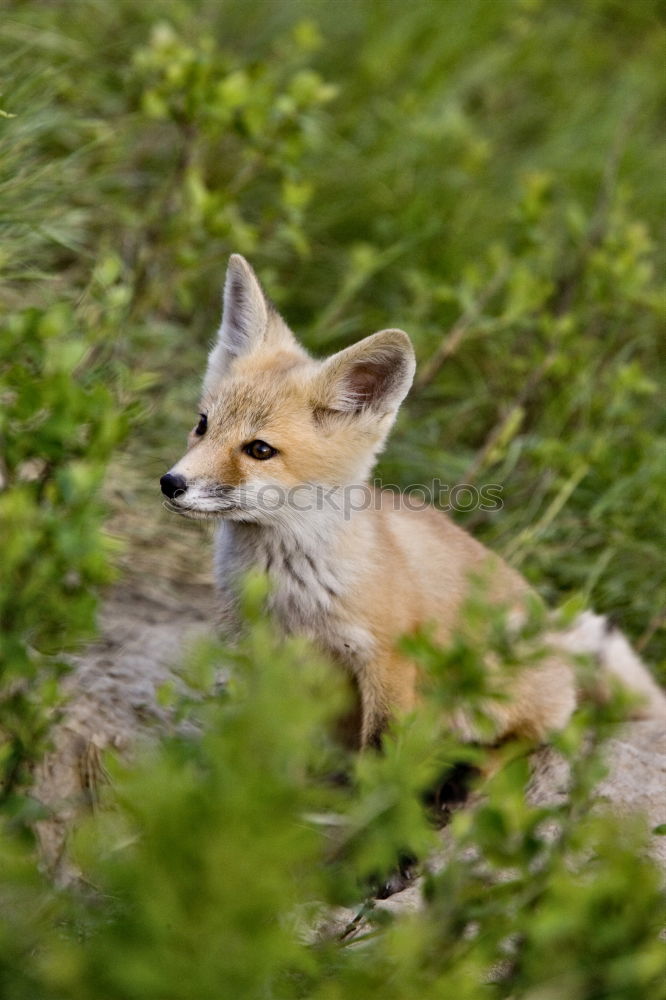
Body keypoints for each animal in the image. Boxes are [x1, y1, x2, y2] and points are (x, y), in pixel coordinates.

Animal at [161, 254, 664, 748]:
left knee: (524, 740)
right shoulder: (258, 658)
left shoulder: (388, 661)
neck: (288, 588)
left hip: (486, 697)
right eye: (203, 425)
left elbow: (381, 751)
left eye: (260, 450)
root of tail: (555, 638)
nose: (170, 483)